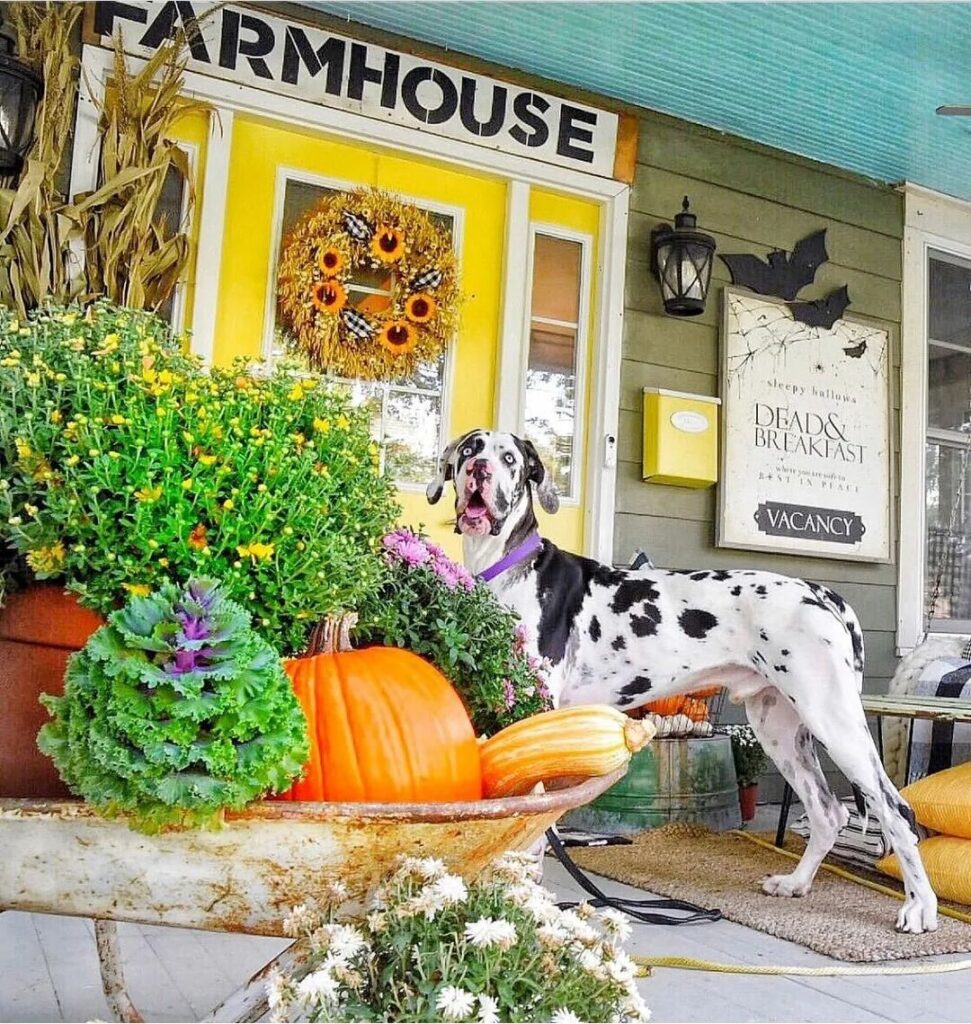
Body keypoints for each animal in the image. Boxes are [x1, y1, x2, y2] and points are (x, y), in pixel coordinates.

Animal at [428, 428, 938, 933]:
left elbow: (536, 818)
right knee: (829, 812)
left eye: (510, 459)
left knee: (897, 812)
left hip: (834, 720)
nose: (479, 469)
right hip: (778, 727)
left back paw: (920, 907)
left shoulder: (536, 710)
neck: (508, 569)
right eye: (470, 449)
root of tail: (820, 591)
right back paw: (796, 883)